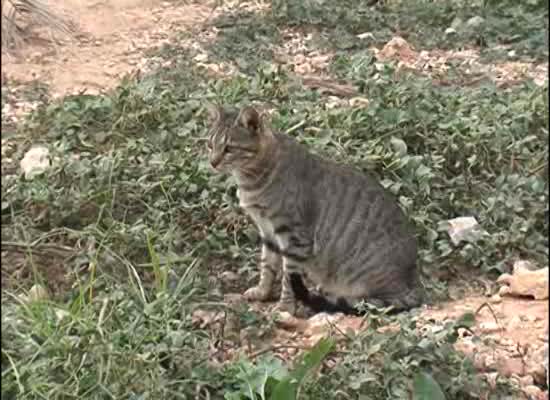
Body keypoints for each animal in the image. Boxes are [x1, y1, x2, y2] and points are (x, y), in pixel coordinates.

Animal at [207, 104, 422, 316]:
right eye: (210, 145)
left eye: (229, 148)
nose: (212, 162)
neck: (252, 179)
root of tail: (414, 281)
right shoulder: (267, 232)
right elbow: (267, 267)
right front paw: (262, 292)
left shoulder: (294, 237)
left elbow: (288, 277)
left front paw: (285, 307)